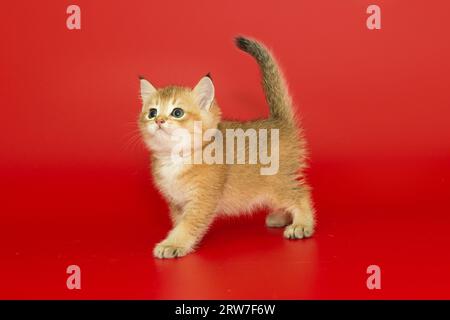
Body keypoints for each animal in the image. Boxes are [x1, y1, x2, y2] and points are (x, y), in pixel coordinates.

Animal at [139, 36, 314, 258]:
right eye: (152, 112)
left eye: (177, 112)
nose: (159, 120)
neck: (175, 158)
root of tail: (279, 121)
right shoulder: (177, 203)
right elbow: (179, 224)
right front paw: (176, 240)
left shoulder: (202, 200)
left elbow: (188, 226)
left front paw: (172, 245)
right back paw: (281, 217)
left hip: (278, 180)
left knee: (301, 193)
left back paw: (302, 224)